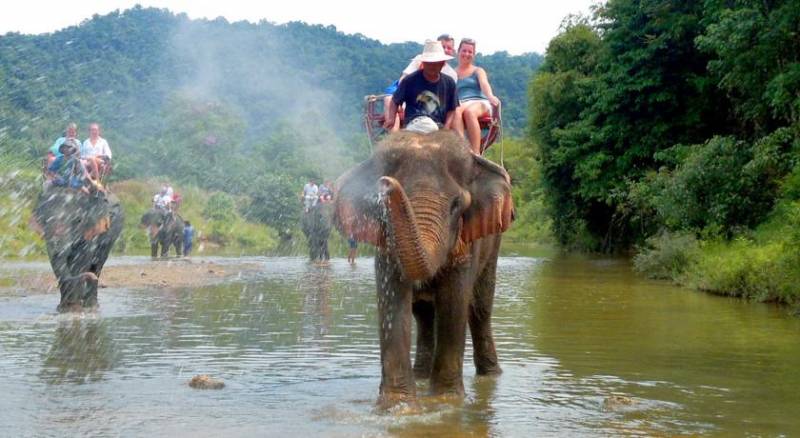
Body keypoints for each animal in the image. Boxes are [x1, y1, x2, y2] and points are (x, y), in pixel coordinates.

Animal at [332, 132, 512, 408]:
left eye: (456, 204)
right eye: (381, 205)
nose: (386, 183)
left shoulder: (467, 244)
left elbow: (454, 300)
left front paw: (446, 401)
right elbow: (394, 301)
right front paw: (397, 406)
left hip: (494, 243)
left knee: (479, 308)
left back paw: (490, 375)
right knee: (424, 314)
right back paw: (421, 376)